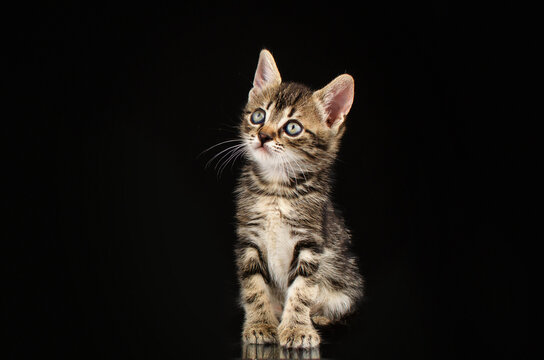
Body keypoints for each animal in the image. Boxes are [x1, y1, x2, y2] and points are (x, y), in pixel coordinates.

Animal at [233, 49, 362, 348]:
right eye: (258, 116)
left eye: (292, 128)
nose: (263, 136)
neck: (276, 189)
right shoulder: (248, 238)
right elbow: (253, 287)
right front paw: (260, 325)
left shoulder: (310, 243)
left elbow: (302, 291)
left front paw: (297, 329)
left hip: (346, 283)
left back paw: (319, 317)